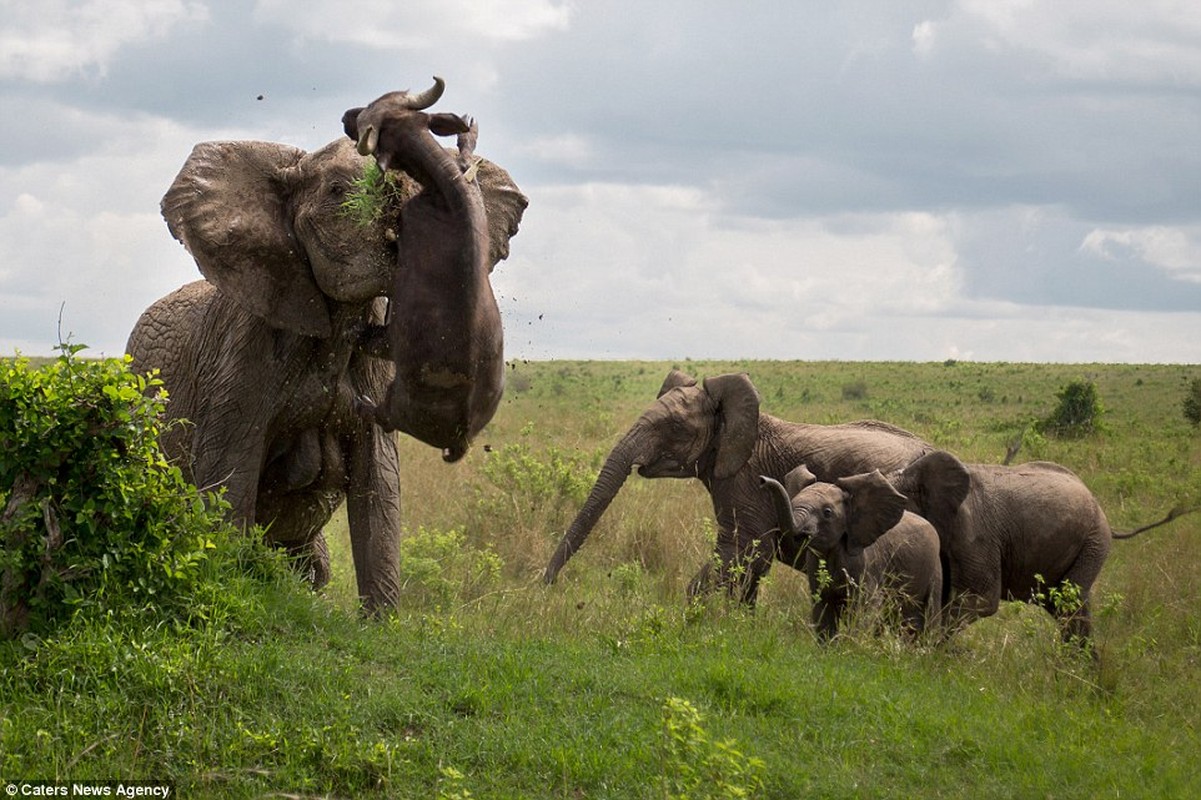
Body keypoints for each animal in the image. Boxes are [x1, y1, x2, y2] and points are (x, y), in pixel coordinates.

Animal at [129, 113, 528, 610]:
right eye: (338, 192)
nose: (462, 129)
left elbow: (380, 486)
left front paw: (381, 621)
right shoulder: (242, 354)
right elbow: (228, 477)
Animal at [759, 463, 946, 639]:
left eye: (827, 513)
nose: (762, 480)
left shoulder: (867, 565)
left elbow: (866, 607)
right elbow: (823, 609)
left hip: (935, 570)